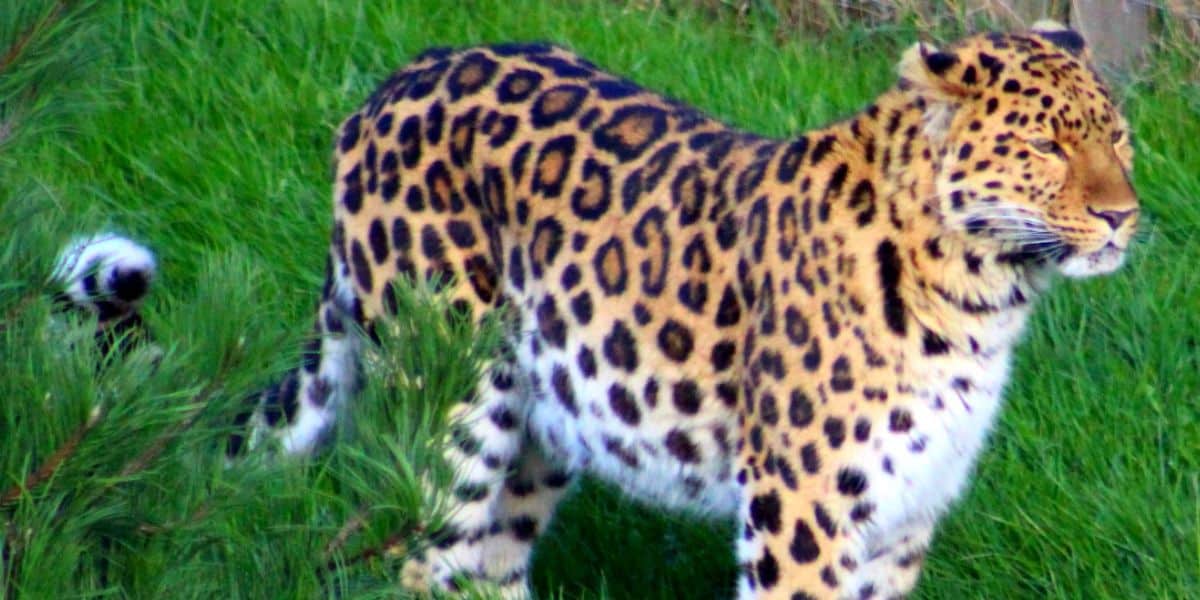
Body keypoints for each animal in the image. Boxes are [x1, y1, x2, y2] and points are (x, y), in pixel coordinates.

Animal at [55, 20, 1138, 599]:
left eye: (1119, 137)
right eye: (1046, 146)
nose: (1125, 215)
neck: (984, 299)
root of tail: (387, 86)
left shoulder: (904, 523)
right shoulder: (805, 514)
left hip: (545, 419)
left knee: (485, 564)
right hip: (455, 403)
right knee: (412, 559)